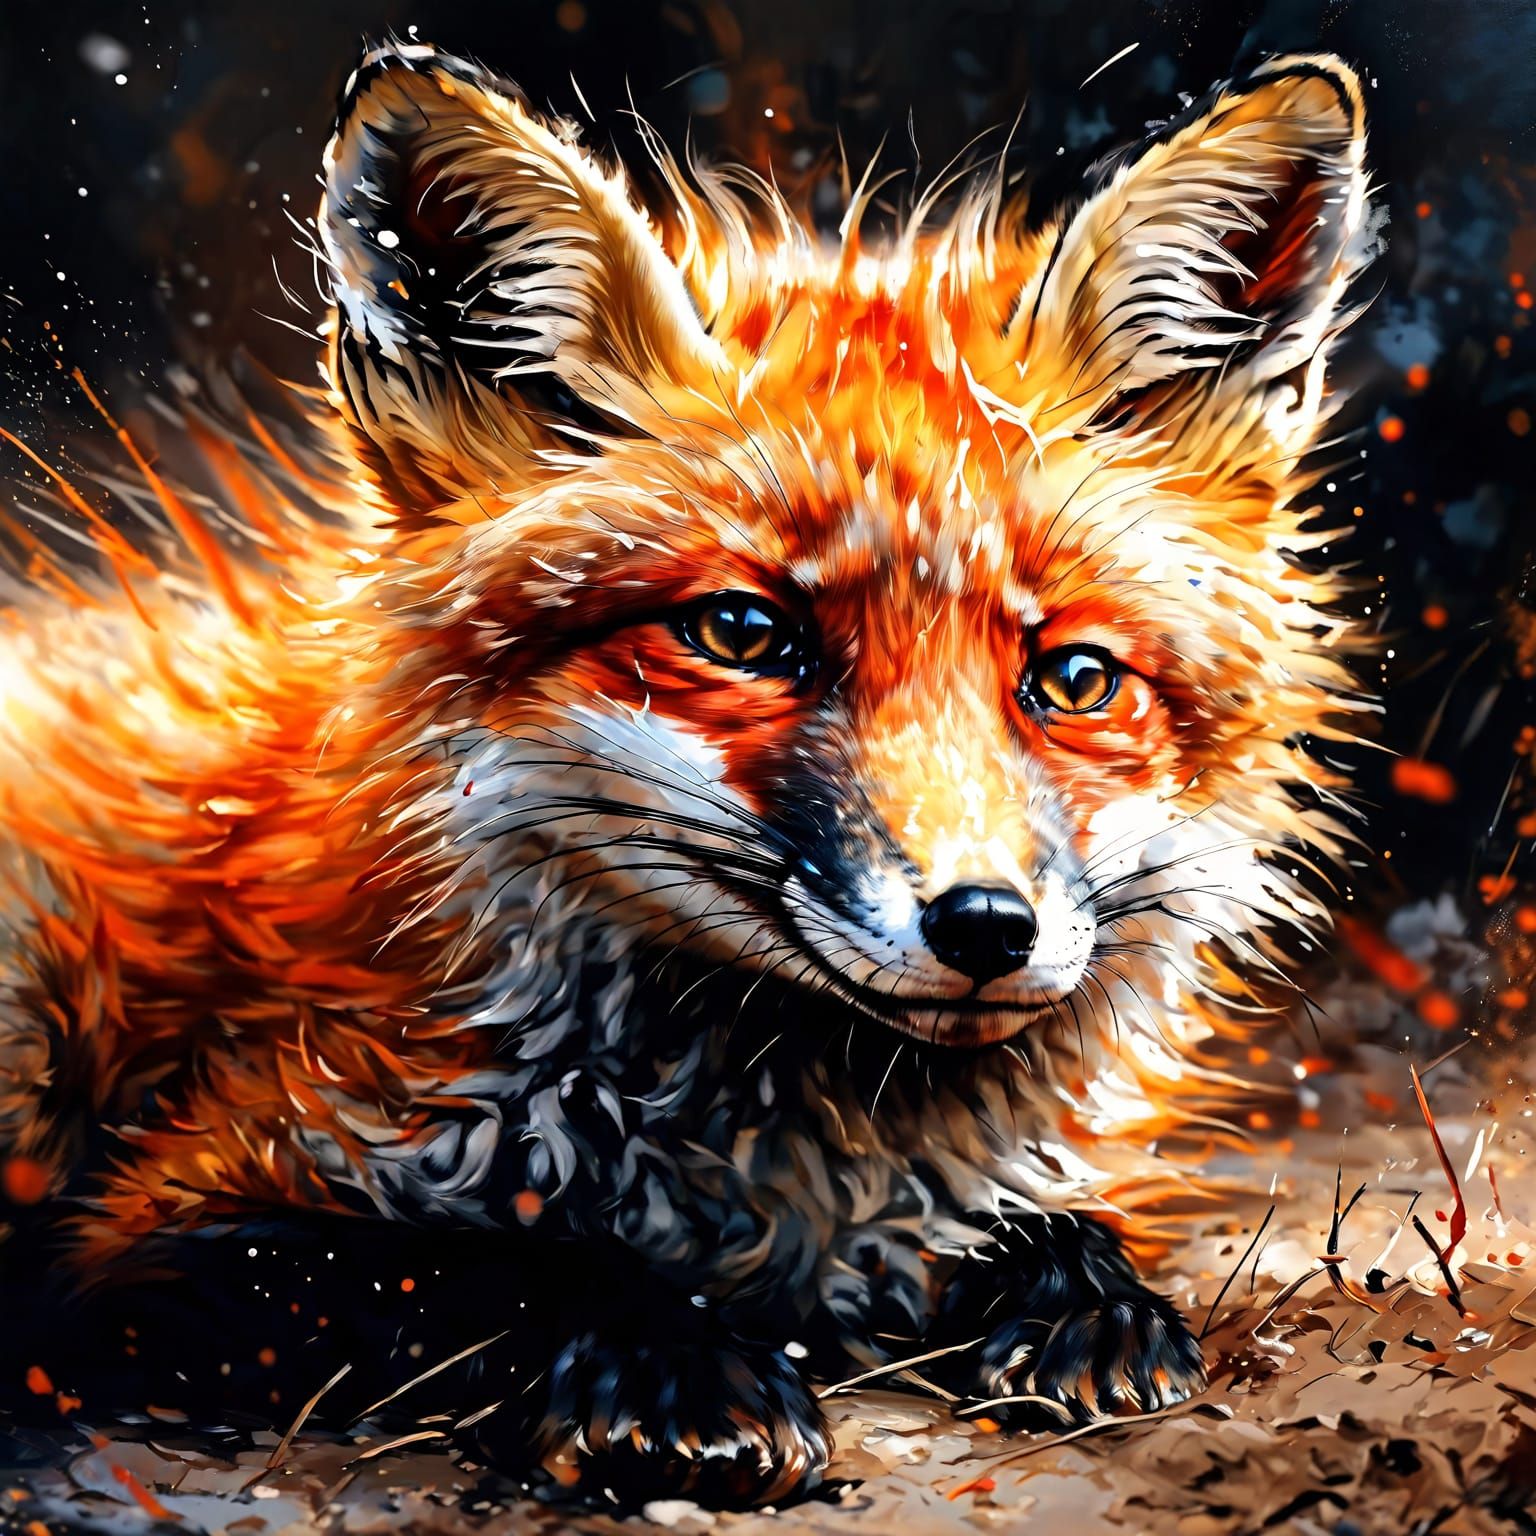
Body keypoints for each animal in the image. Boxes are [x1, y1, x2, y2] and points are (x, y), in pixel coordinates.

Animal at [0, 41, 1375, 1508]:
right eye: (743, 635)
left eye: (1073, 678)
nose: (987, 929)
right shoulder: (160, 1226)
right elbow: (483, 1265)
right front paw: (672, 1365)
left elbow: (1048, 1228)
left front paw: (1087, 1305)